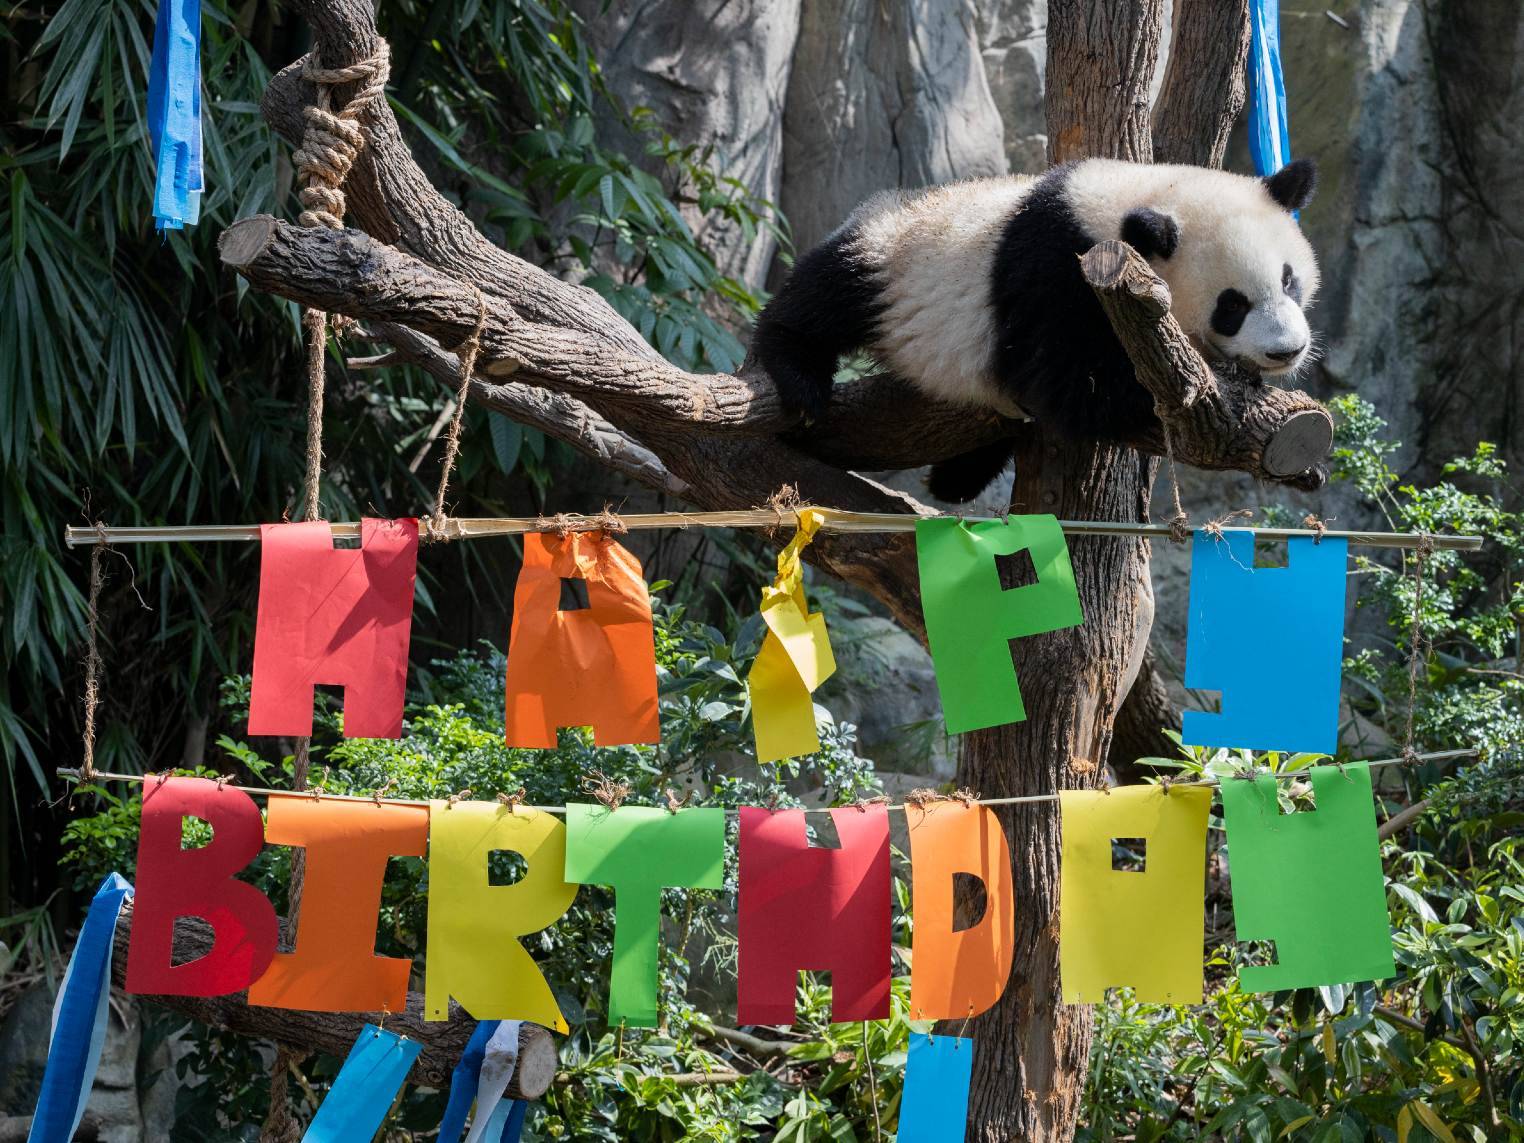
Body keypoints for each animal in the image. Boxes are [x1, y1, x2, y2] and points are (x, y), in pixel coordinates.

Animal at [752, 156, 1322, 499]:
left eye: (1288, 279)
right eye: (1232, 305)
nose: (1286, 351)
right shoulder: (1059, 277)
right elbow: (1068, 382)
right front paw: (1213, 383)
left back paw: (957, 478)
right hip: (892, 252)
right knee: (828, 294)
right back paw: (800, 377)